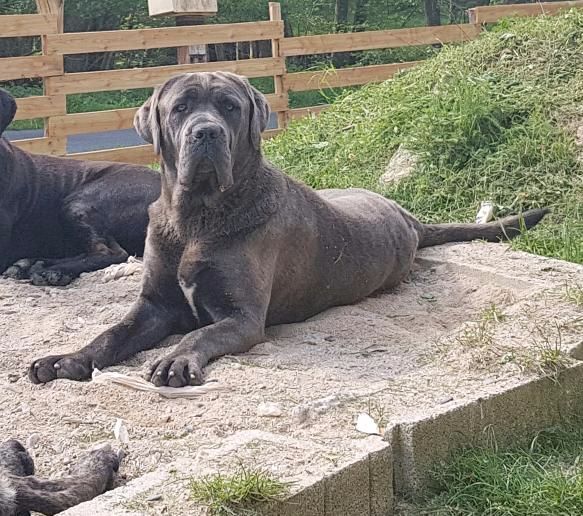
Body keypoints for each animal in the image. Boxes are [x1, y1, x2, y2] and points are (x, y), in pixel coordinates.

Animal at [27, 71, 548, 388]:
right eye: (180, 108)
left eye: (229, 107)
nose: (206, 132)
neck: (196, 217)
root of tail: (409, 218)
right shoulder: (155, 305)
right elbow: (111, 334)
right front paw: (68, 359)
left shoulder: (241, 318)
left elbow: (198, 336)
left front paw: (176, 358)